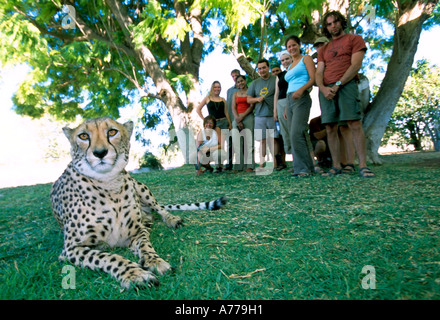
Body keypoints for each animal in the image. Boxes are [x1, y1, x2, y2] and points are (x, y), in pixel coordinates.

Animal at [52, 117, 227, 288]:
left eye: (112, 132)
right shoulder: (70, 250)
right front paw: (134, 273)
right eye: (83, 136)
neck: (109, 185)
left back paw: (171, 219)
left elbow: (145, 245)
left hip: (140, 187)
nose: (100, 153)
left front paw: (154, 260)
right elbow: (107, 257)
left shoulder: (137, 231)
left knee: (159, 209)